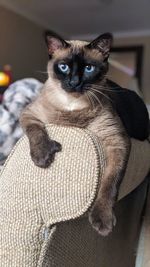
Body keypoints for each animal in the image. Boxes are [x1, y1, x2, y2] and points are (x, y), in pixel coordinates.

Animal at [20, 30, 150, 237]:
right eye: (64, 67)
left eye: (89, 68)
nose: (74, 82)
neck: (72, 105)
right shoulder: (29, 114)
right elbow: (37, 131)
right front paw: (42, 157)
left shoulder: (116, 141)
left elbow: (109, 183)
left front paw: (102, 221)